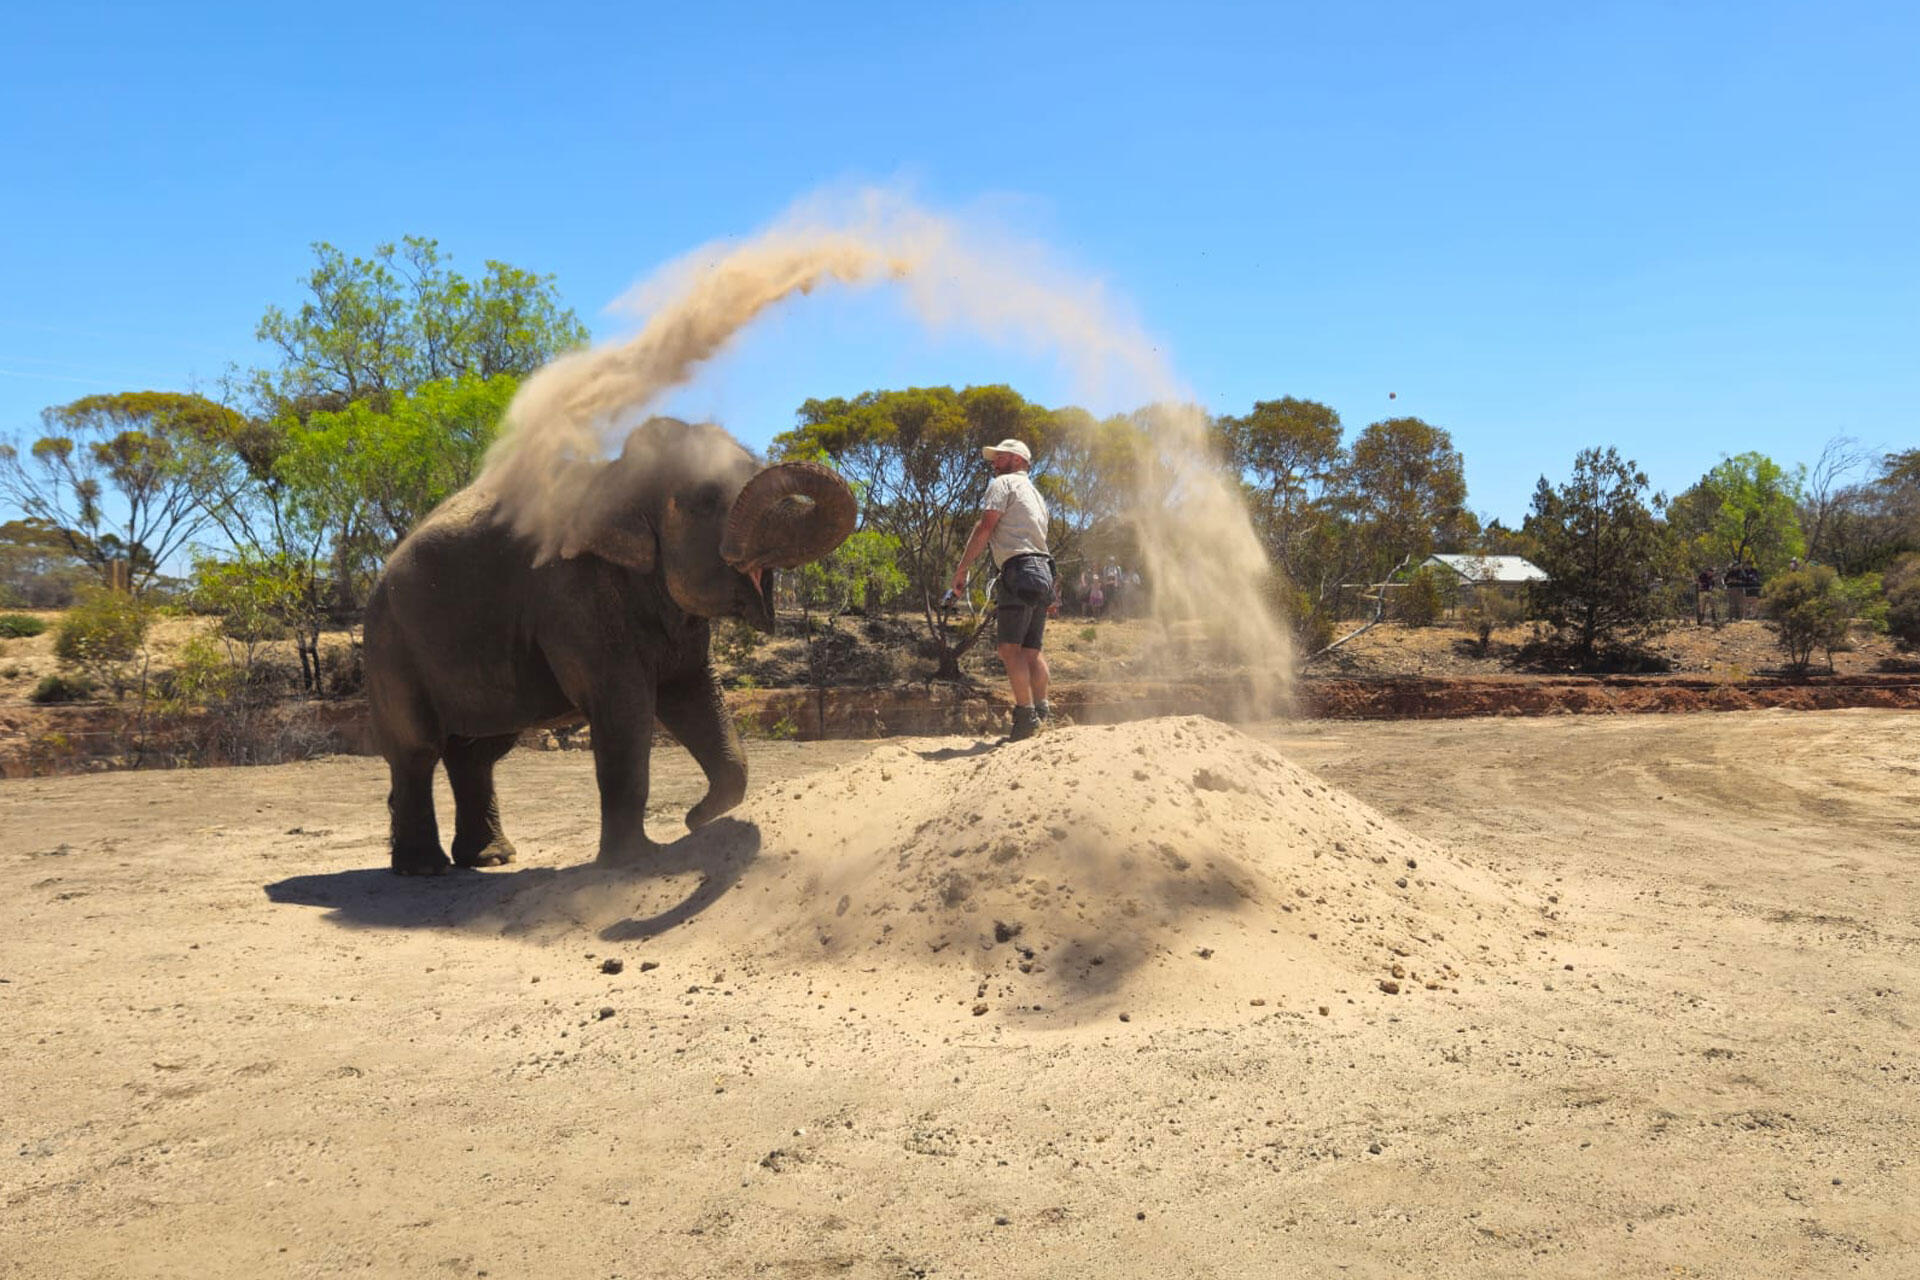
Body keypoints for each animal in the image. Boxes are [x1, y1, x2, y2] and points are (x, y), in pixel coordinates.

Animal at [363, 416, 856, 875]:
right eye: (704, 501)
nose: (688, 817)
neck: (616, 476)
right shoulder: (571, 597)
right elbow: (625, 707)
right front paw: (639, 858)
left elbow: (694, 694)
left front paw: (699, 821)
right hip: (391, 646)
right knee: (417, 750)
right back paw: (424, 867)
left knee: (477, 752)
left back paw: (491, 859)